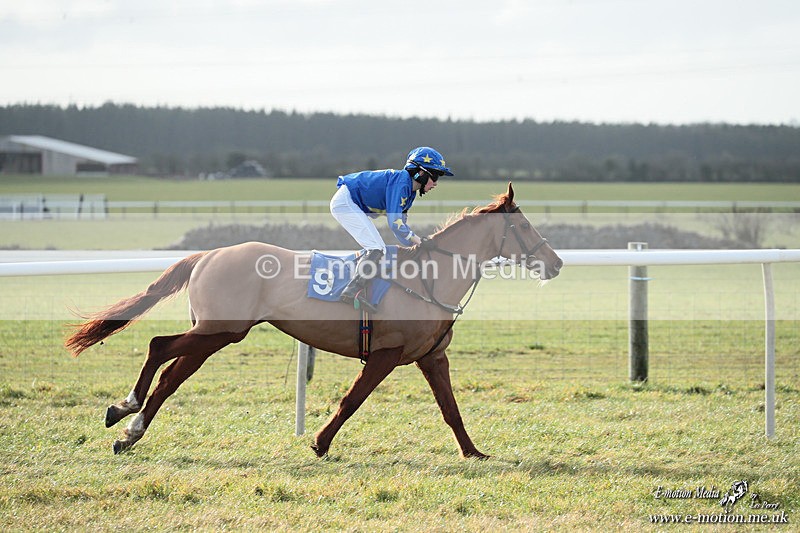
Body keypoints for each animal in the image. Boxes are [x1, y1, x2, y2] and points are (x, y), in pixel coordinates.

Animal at [65, 183, 562, 458]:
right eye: (525, 228)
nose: (556, 263)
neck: (430, 278)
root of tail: (208, 254)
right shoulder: (385, 353)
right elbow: (351, 401)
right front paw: (320, 443)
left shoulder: (431, 358)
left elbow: (451, 409)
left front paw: (475, 453)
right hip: (221, 330)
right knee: (158, 347)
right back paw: (125, 409)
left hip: (214, 335)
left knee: (171, 376)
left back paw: (130, 431)